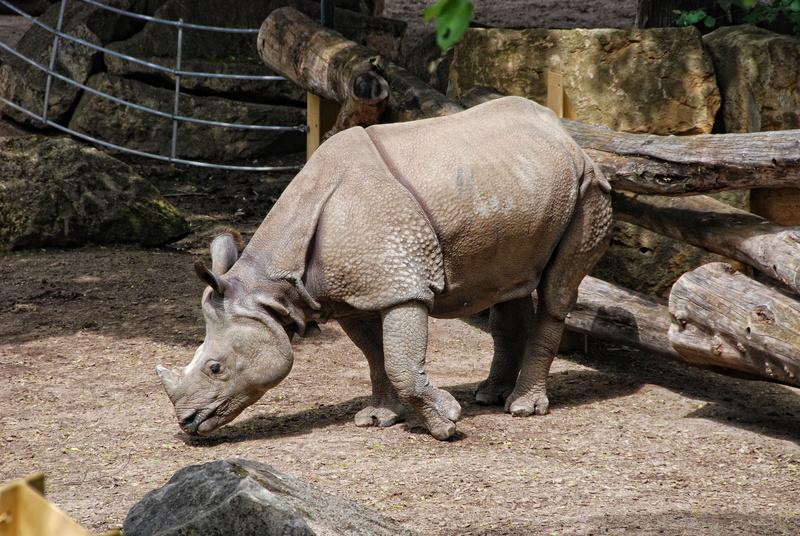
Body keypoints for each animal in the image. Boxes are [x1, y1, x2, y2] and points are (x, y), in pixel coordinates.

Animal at [157, 96, 612, 441]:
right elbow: (375, 354)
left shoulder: (401, 287)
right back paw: (490, 396)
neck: (270, 286)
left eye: (215, 367)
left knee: (556, 289)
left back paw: (523, 408)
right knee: (508, 283)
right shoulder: (344, 295)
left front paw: (445, 424)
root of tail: (566, 135)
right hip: (515, 183)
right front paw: (379, 418)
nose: (187, 423)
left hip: (589, 187)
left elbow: (400, 362)